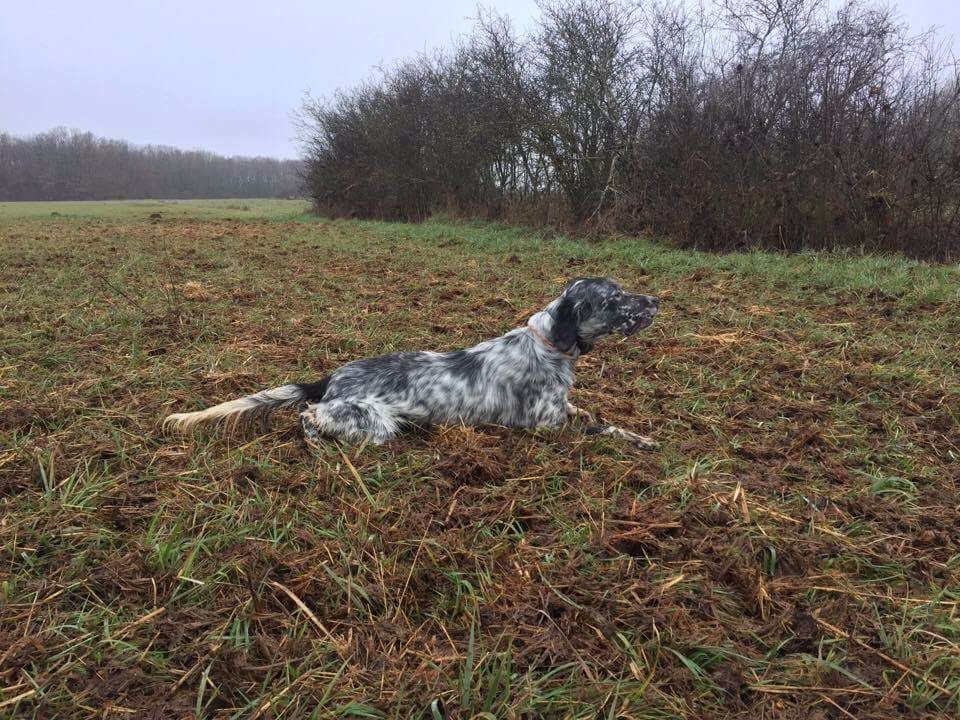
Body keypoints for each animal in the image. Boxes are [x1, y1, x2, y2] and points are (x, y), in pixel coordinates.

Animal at [163, 278, 660, 448]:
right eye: (614, 298)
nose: (655, 300)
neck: (549, 343)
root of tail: (331, 377)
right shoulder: (546, 426)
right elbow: (604, 429)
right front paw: (643, 440)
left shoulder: (563, 410)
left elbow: (592, 413)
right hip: (374, 423)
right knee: (307, 414)